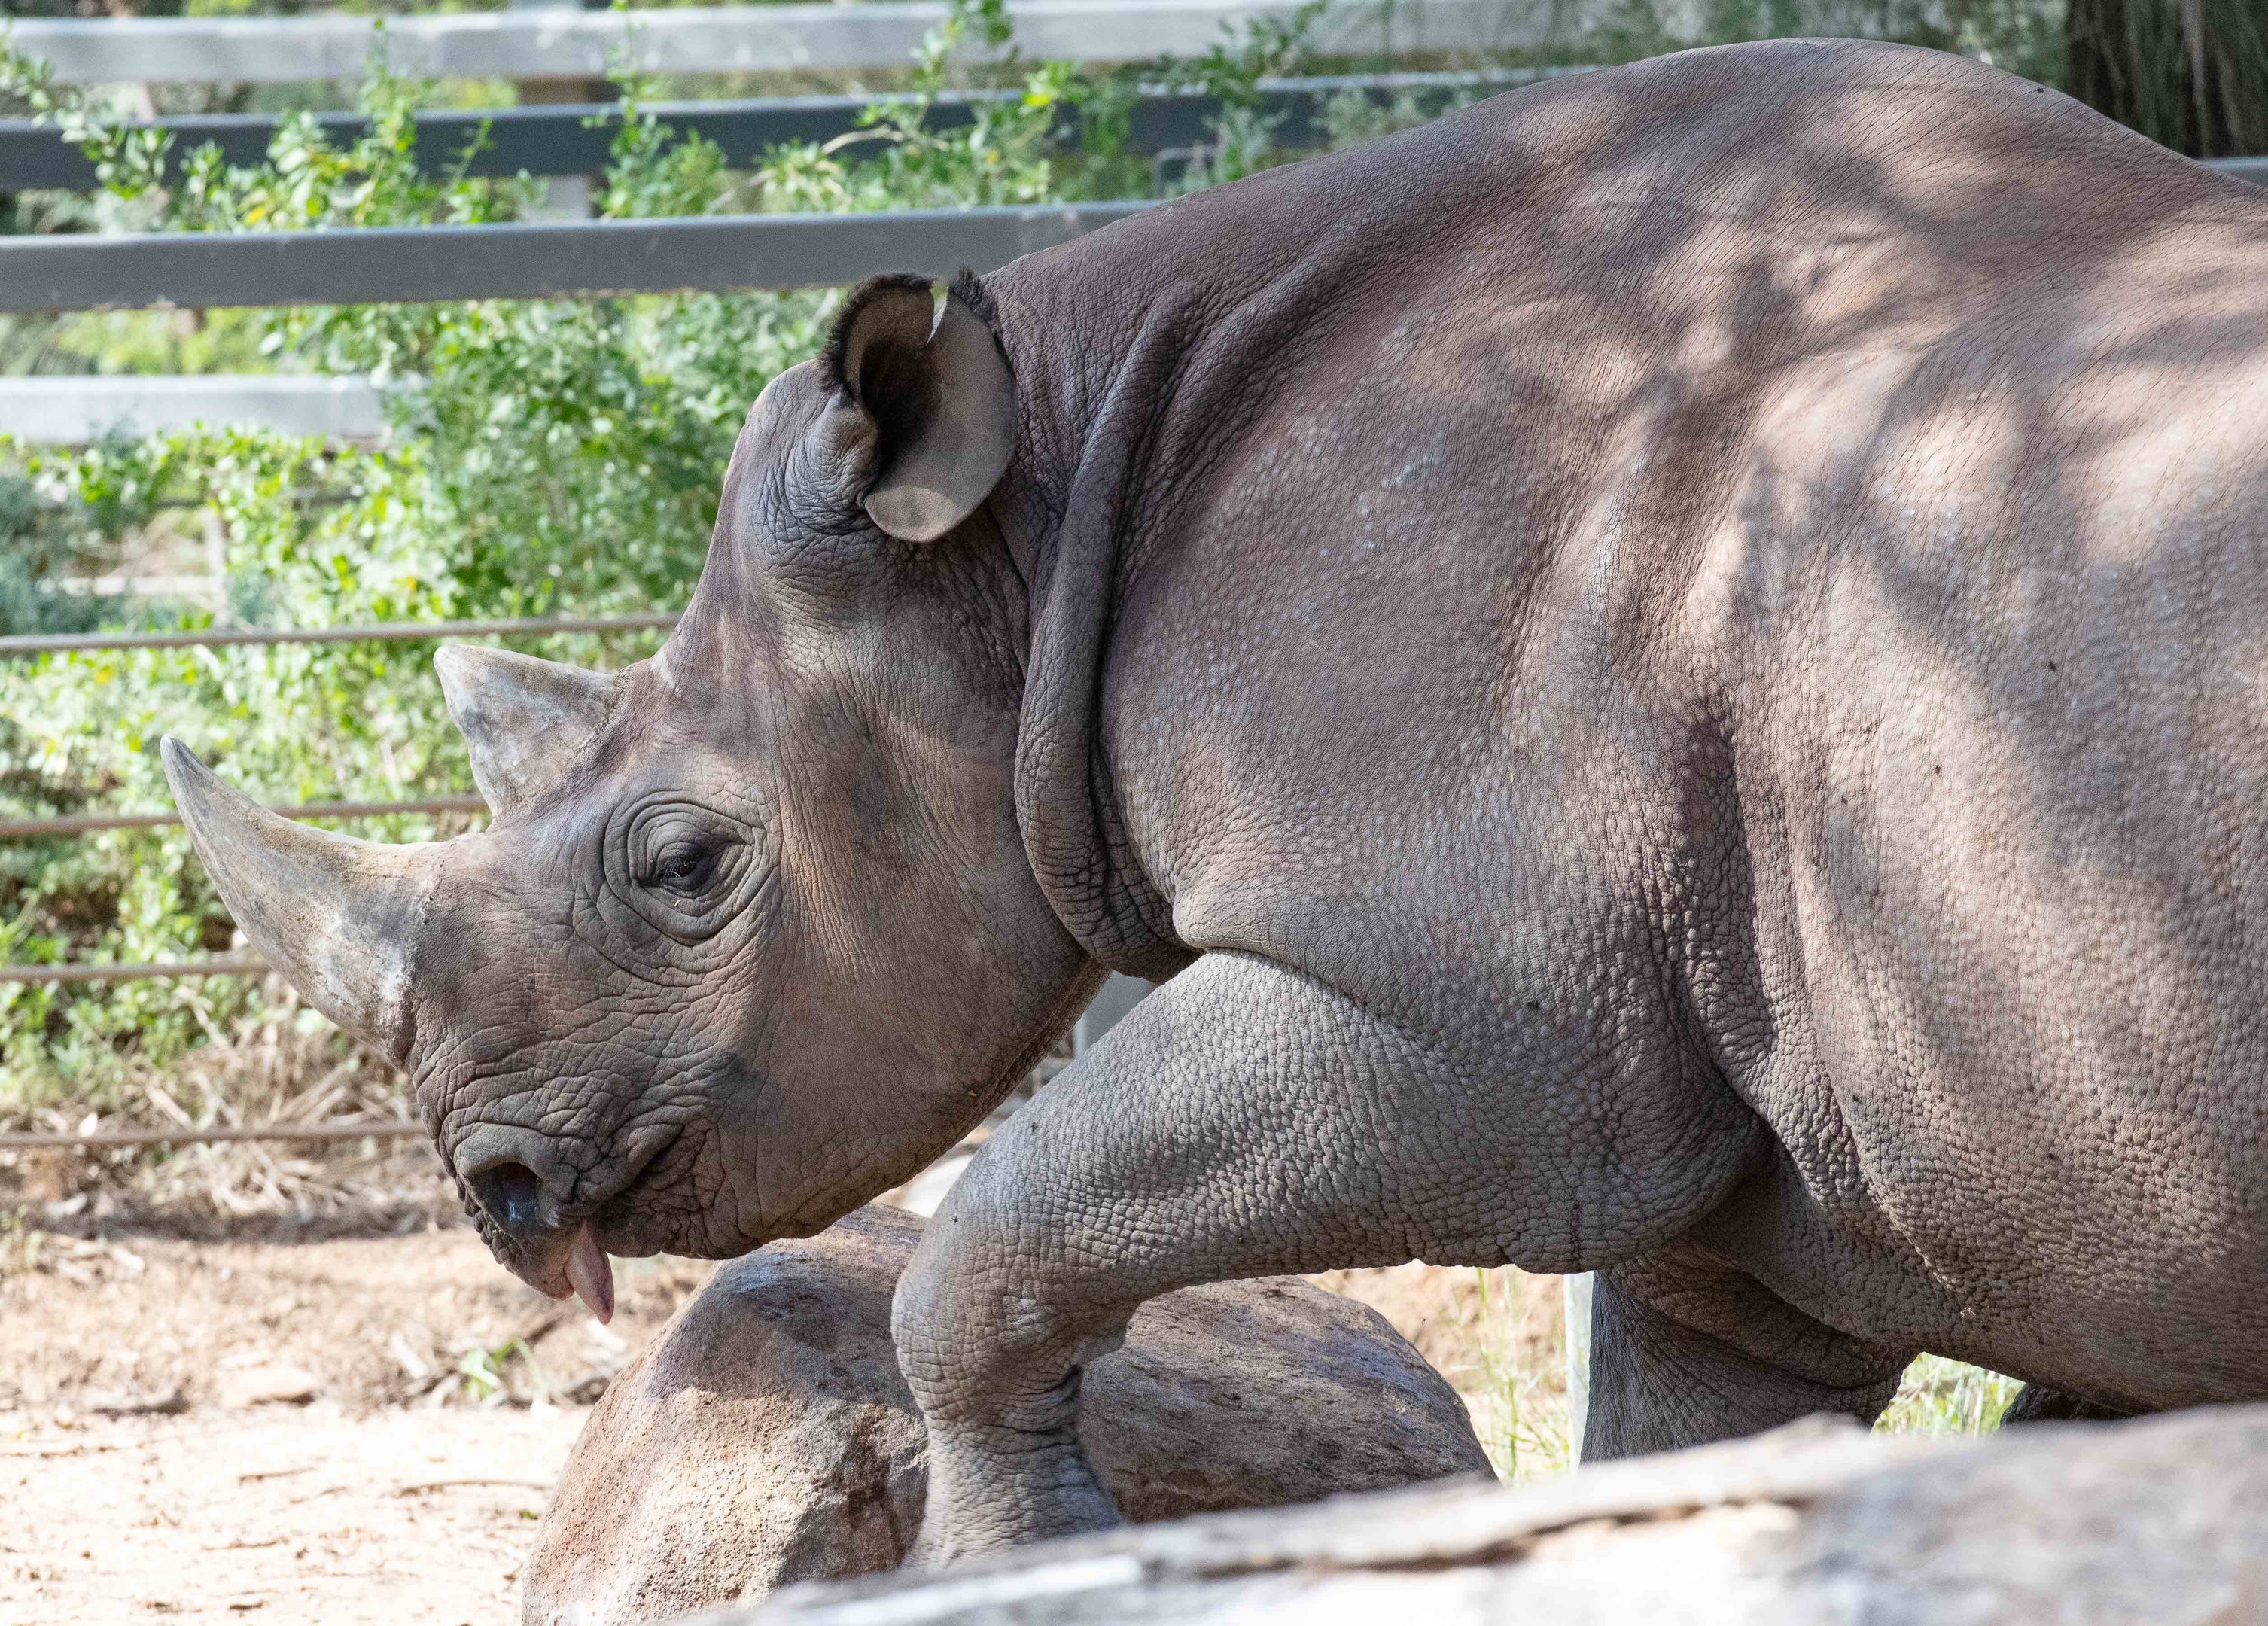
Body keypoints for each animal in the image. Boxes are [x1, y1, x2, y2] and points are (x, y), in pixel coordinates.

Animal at [163, 37, 2268, 1558]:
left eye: (685, 864)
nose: (499, 1190)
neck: (1038, 512)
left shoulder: (1478, 1021)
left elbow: (984, 1246)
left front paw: (1010, 1566)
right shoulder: (1757, 1192)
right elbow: (1675, 1449)